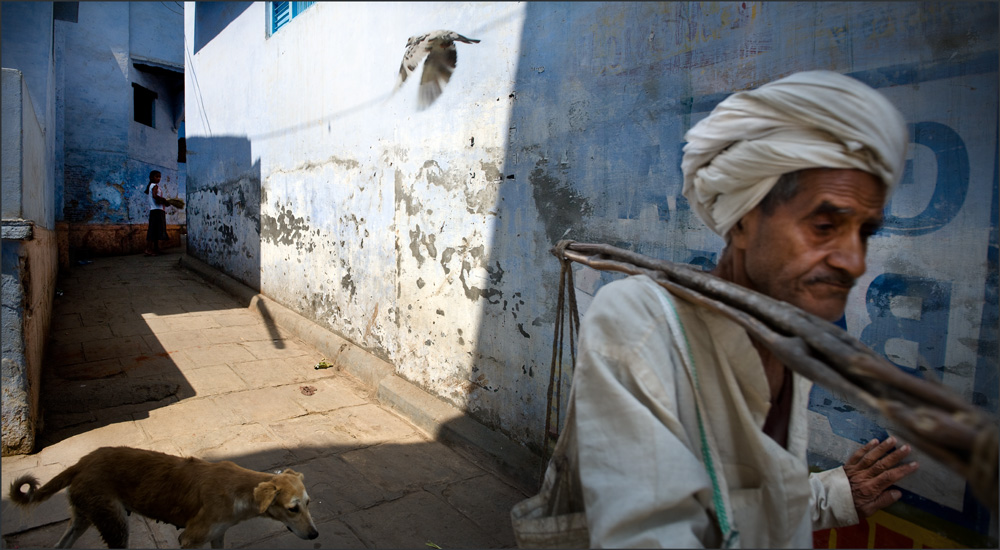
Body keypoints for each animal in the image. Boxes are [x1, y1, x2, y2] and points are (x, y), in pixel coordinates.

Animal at [7, 448, 318, 548]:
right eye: (292, 509)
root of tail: (82, 462)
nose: (315, 535)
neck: (241, 491)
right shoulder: (190, 539)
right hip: (115, 525)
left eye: (308, 504)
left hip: (84, 517)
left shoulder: (217, 535)